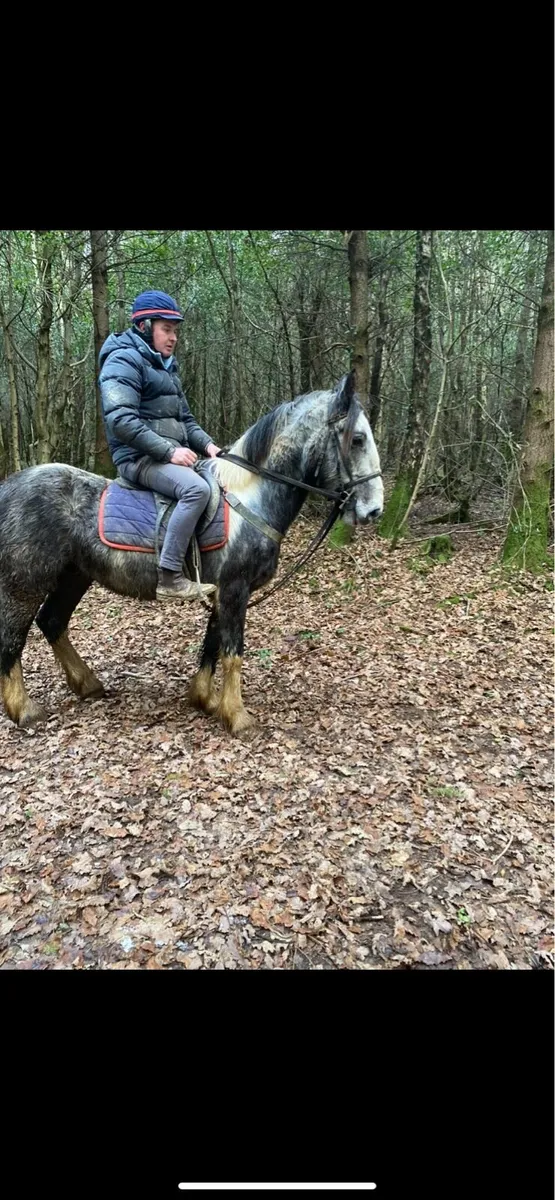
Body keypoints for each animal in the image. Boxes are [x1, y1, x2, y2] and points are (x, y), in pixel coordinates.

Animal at [0, 371, 383, 735]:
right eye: (358, 439)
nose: (375, 510)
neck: (249, 499)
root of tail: (9, 486)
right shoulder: (234, 589)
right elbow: (233, 652)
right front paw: (238, 717)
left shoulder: (221, 591)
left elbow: (212, 645)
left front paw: (205, 700)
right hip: (26, 583)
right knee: (13, 637)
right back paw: (24, 709)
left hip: (74, 575)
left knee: (52, 621)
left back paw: (87, 684)